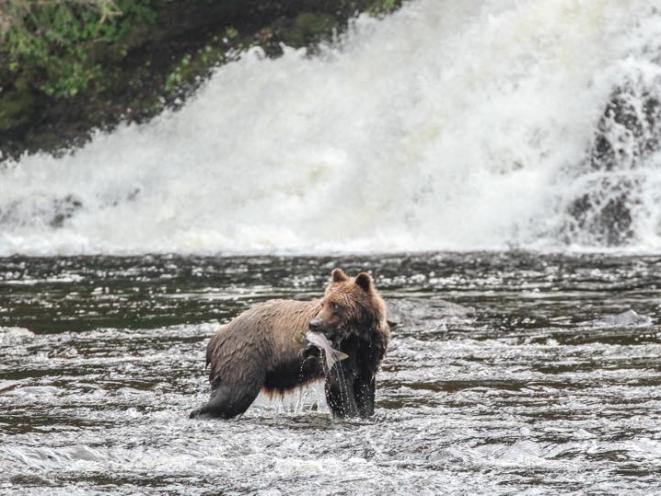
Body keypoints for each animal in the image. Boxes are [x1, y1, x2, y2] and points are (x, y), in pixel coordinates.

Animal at [189, 268, 391, 419]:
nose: (314, 324)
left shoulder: (368, 352)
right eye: (324, 303)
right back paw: (199, 413)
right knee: (232, 395)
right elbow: (339, 386)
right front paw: (351, 413)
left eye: (336, 305)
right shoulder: (339, 353)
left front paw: (366, 413)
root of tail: (218, 335)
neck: (357, 335)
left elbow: (364, 387)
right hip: (243, 358)